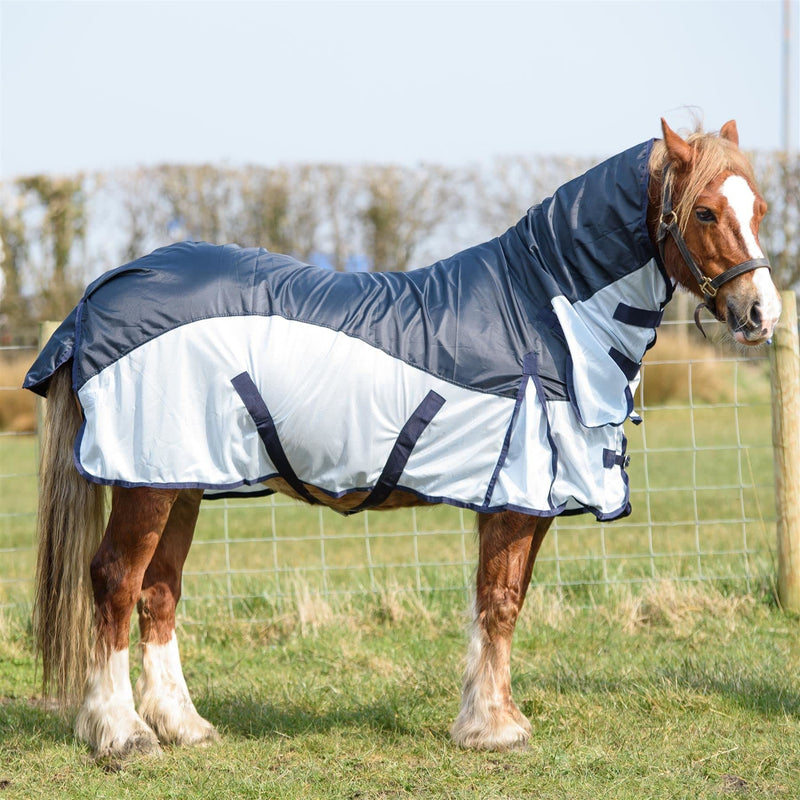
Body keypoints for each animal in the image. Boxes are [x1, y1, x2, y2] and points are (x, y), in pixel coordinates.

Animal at [24, 119, 781, 759]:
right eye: (704, 212)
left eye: (761, 210)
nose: (761, 313)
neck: (541, 310)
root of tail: (104, 290)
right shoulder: (513, 499)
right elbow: (499, 603)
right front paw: (492, 730)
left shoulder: (527, 502)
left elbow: (503, 601)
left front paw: (494, 717)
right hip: (145, 482)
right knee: (115, 583)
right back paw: (122, 734)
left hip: (179, 478)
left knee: (159, 592)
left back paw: (184, 726)